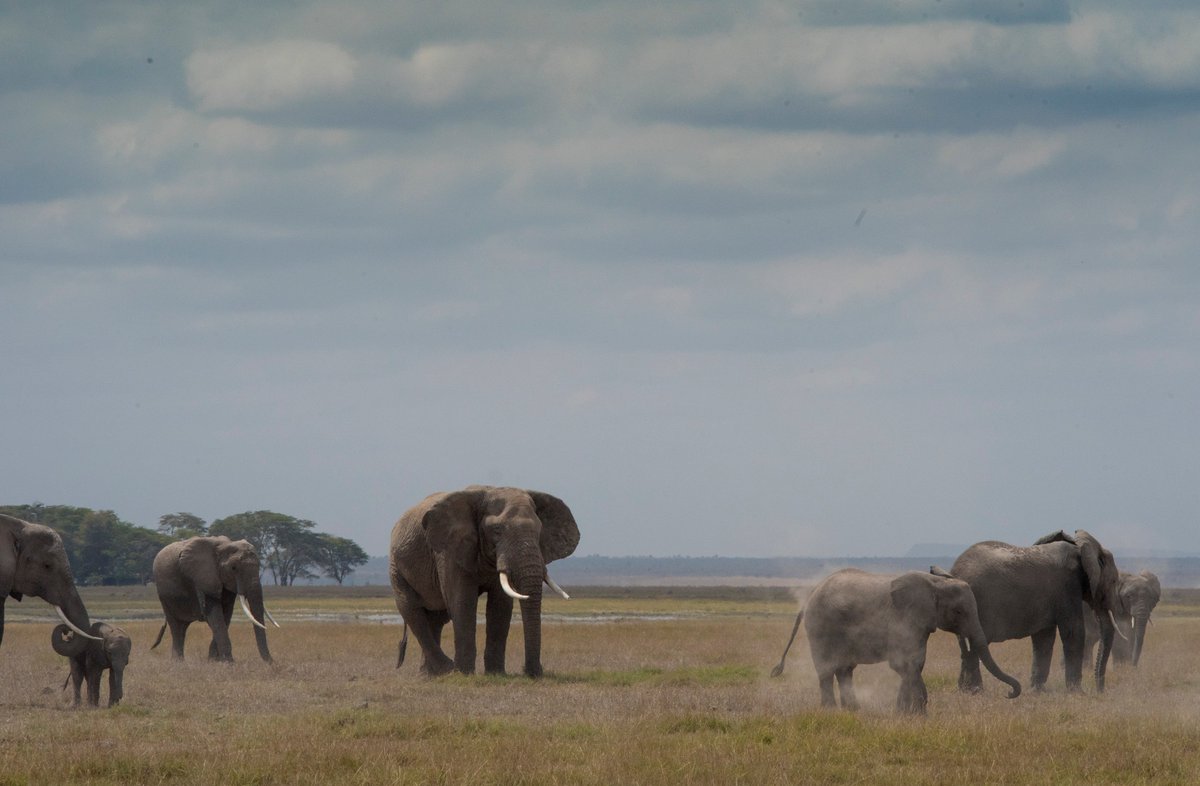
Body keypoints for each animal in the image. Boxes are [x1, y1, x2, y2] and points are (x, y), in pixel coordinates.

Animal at [390, 485, 580, 678]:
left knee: (436, 618)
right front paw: (464, 674)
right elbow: (462, 601)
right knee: (412, 611)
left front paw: (496, 674)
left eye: (540, 530)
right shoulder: (449, 550)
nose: (532, 672)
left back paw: (430, 676)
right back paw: (446, 669)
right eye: (496, 530)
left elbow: (500, 605)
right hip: (396, 567)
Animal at [770, 568, 1020, 713]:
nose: (1009, 694)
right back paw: (830, 712)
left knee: (844, 670)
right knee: (827, 668)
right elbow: (905, 664)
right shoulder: (904, 619)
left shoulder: (919, 624)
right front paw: (918, 713)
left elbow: (915, 663)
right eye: (958, 612)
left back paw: (853, 710)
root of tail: (809, 596)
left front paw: (905, 713)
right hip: (821, 626)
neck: (935, 582)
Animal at [949, 529, 1120, 693]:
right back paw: (975, 690)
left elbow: (1044, 637)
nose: (1100, 691)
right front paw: (1077, 692)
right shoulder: (1067, 587)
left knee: (966, 647)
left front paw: (1038, 691)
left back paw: (966, 690)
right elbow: (1073, 632)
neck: (1081, 548)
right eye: (1114, 582)